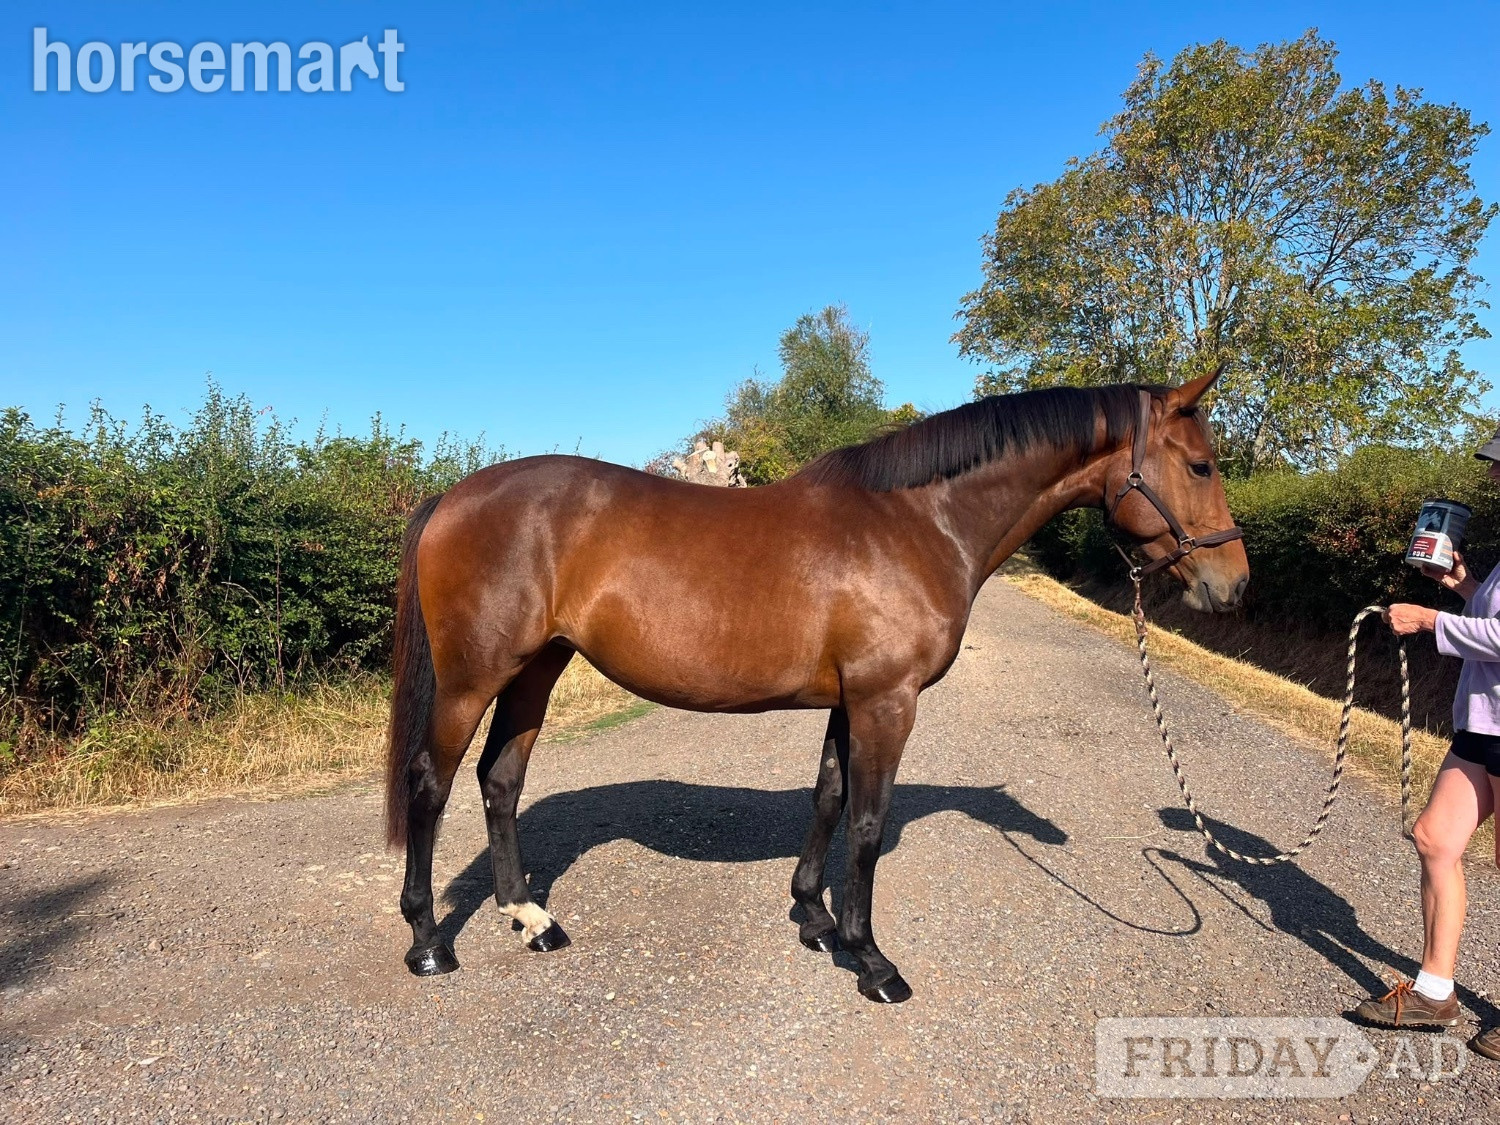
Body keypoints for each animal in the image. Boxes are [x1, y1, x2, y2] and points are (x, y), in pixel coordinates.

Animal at [384, 372, 1249, 1002]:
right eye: (1200, 465)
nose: (1234, 584)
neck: (918, 522)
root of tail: (453, 494)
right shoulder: (886, 701)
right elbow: (866, 823)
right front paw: (871, 959)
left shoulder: (849, 699)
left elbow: (829, 798)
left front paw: (814, 917)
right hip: (474, 677)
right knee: (431, 784)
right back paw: (426, 942)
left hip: (539, 667)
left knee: (501, 780)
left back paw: (530, 917)